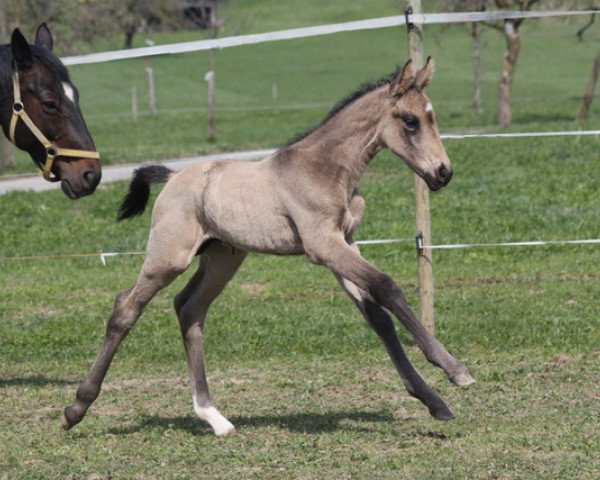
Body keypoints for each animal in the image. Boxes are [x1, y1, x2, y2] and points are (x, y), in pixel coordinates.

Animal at [63, 59, 476, 436]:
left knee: (189, 308)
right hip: (169, 257)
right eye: (410, 121)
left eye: (431, 117)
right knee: (126, 307)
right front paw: (455, 370)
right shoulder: (323, 245)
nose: (443, 173)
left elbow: (377, 315)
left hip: (222, 259)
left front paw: (434, 401)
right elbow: (388, 287)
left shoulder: (345, 242)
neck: (325, 169)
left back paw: (214, 418)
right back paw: (76, 408)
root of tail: (173, 176)